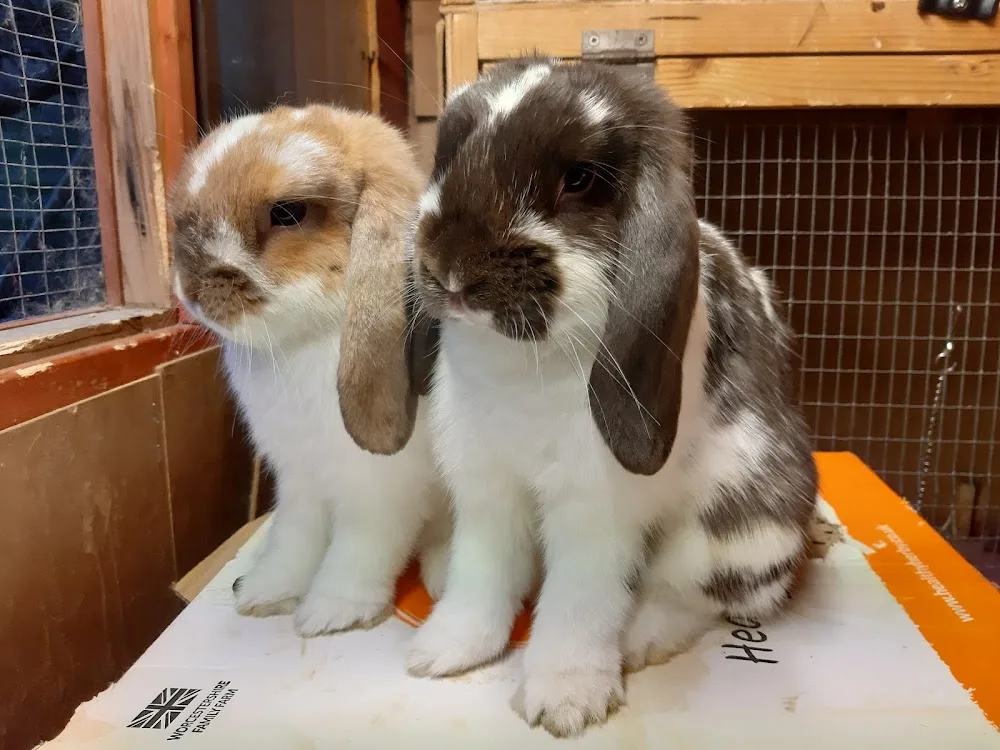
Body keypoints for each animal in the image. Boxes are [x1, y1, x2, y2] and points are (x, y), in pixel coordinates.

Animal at [169, 104, 450, 638]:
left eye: (288, 212)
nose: (192, 289)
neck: (301, 343)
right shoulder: (298, 482)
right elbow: (295, 541)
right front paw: (266, 592)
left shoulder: (379, 493)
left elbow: (359, 550)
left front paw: (331, 611)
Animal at [404, 58, 817, 737]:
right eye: (447, 155)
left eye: (579, 178)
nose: (452, 267)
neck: (522, 364)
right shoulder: (486, 489)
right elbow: (482, 576)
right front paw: (445, 652)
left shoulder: (595, 508)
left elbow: (579, 603)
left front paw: (567, 701)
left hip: (740, 530)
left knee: (698, 597)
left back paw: (642, 638)